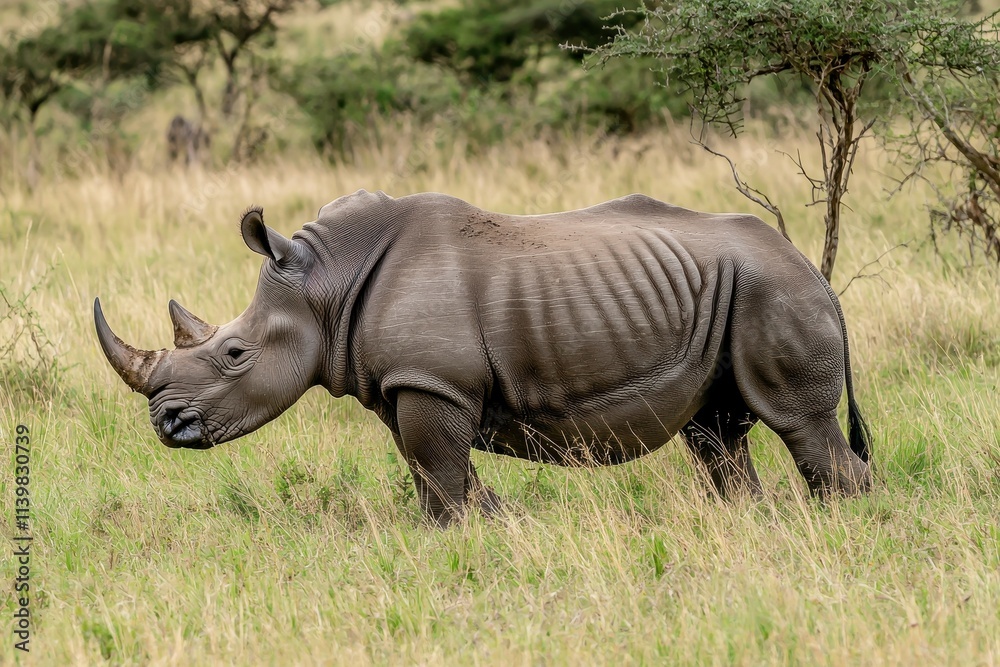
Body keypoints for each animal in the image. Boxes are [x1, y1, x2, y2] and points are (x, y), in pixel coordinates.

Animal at [95, 190, 872, 525]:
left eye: (233, 353)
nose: (167, 424)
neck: (325, 286)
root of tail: (813, 268)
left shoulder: (432, 381)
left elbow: (438, 472)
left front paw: (454, 539)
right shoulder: (412, 382)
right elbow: (435, 467)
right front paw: (496, 523)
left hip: (772, 290)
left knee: (797, 424)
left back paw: (840, 523)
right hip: (734, 292)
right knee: (716, 434)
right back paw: (749, 524)